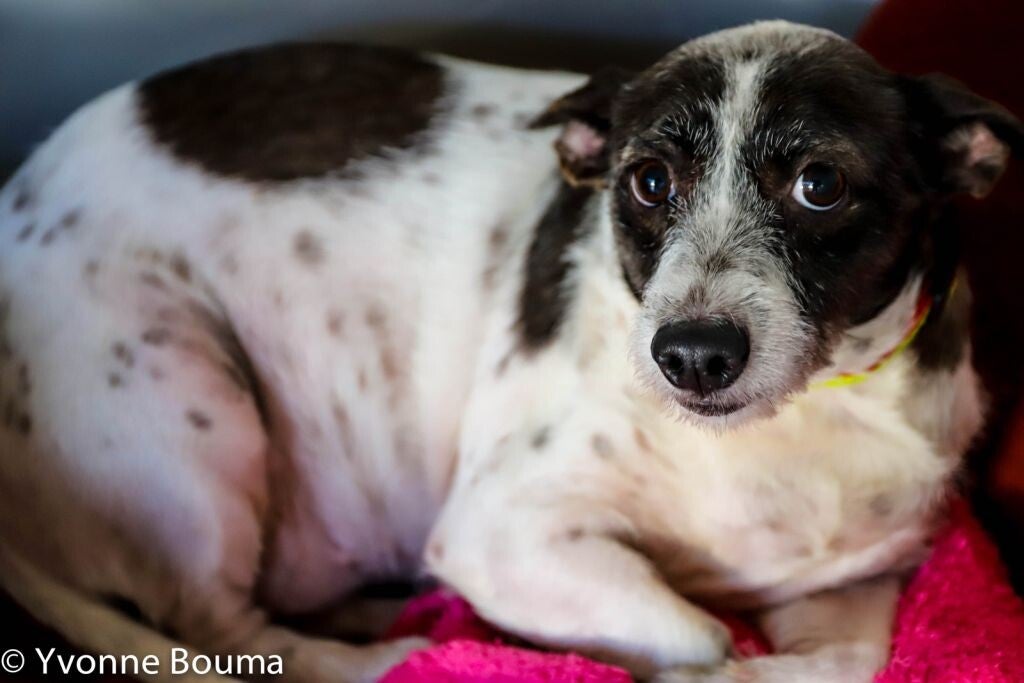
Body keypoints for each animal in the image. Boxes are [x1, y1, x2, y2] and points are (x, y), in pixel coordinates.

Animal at [1, 20, 1021, 682]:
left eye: (820, 184)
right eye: (649, 181)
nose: (691, 354)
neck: (780, 432)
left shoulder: (859, 582)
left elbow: (845, 658)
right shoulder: (502, 530)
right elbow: (698, 632)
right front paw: (689, 666)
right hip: (189, 410)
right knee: (233, 631)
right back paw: (384, 652)